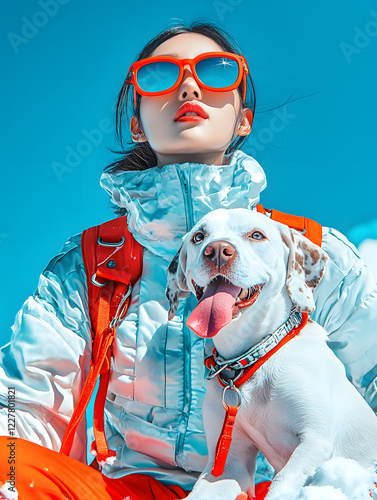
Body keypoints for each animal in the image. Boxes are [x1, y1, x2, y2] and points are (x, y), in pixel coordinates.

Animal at [165, 208, 376, 500]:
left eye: (256, 235)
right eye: (199, 236)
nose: (217, 250)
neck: (255, 356)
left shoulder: (314, 440)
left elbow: (281, 485)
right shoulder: (229, 462)